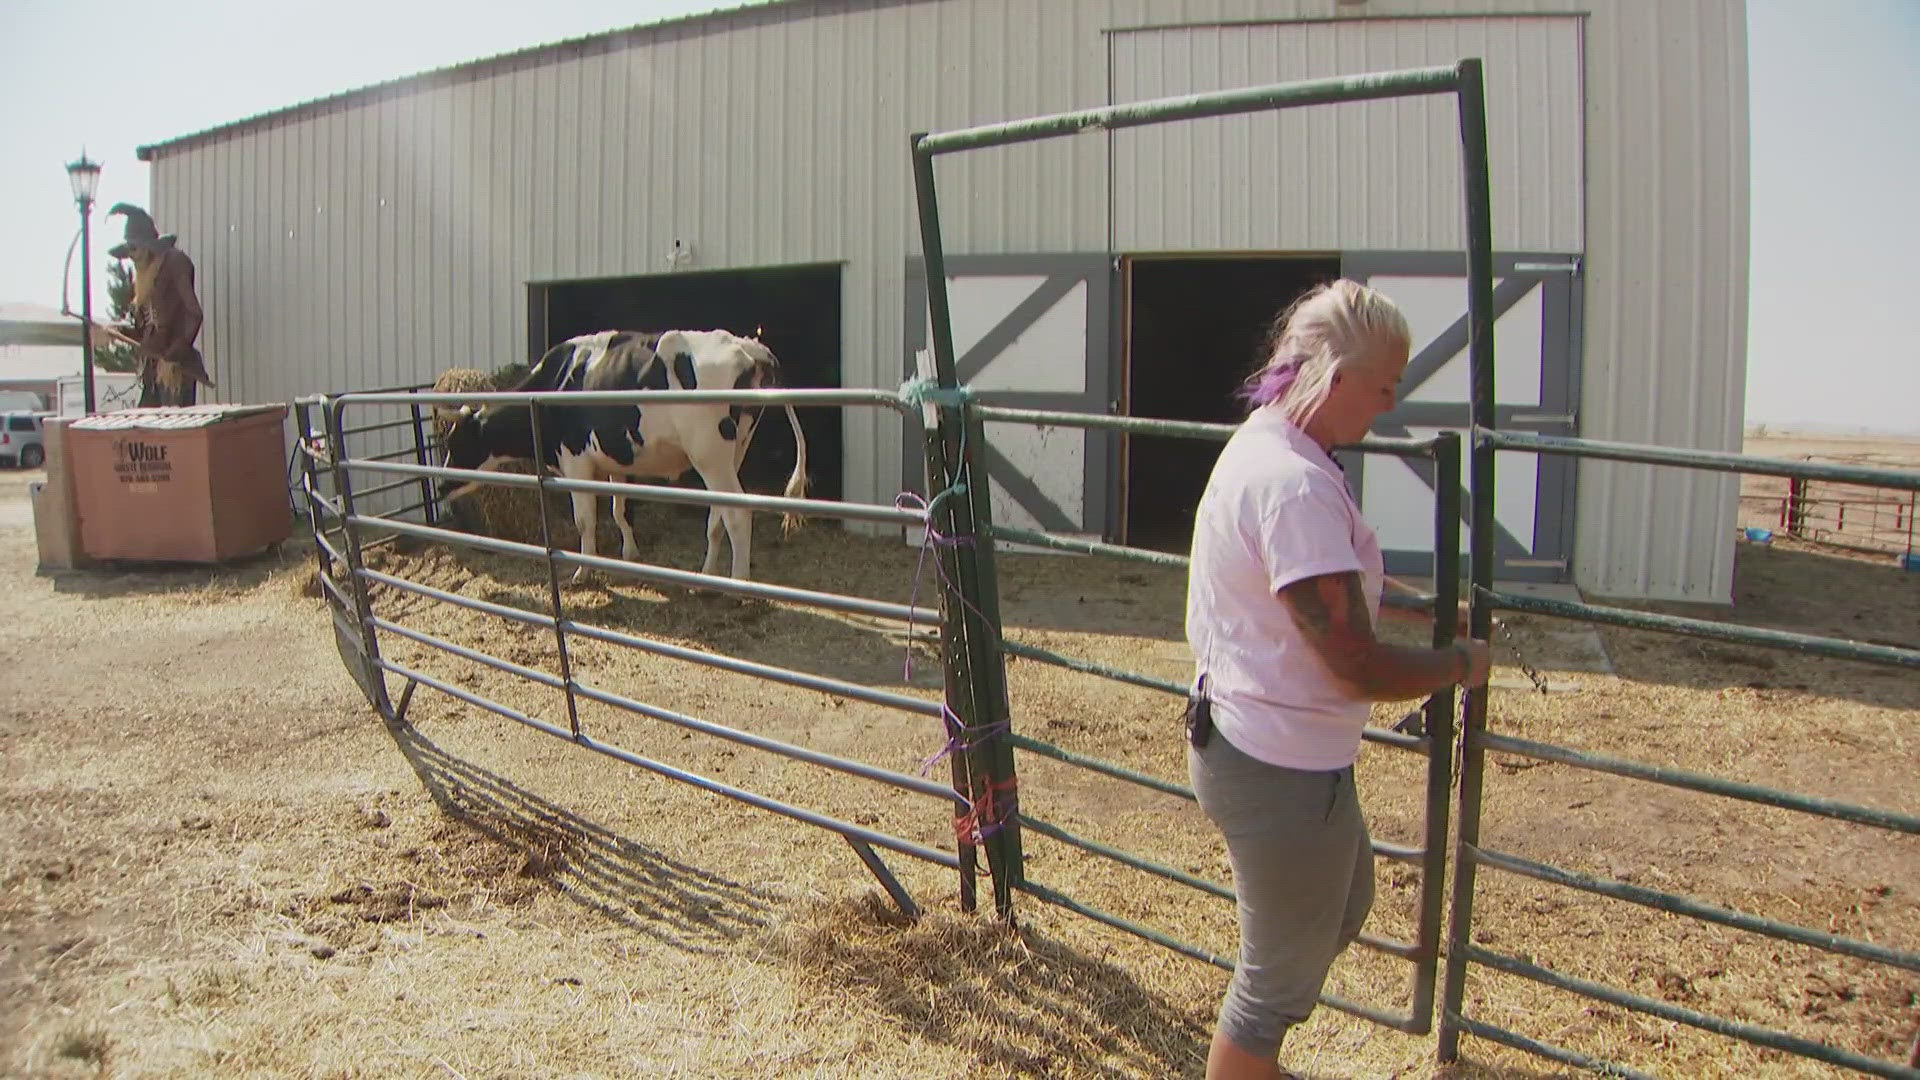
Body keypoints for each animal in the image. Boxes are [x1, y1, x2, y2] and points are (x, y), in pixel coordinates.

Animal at [441, 328, 810, 580]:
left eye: (454, 444)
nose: (442, 486)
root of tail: (747, 346)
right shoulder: (615, 460)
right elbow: (621, 510)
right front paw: (630, 554)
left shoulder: (575, 462)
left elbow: (585, 520)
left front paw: (583, 571)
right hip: (734, 451)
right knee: (718, 515)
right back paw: (706, 575)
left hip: (709, 454)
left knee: (738, 514)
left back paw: (739, 585)